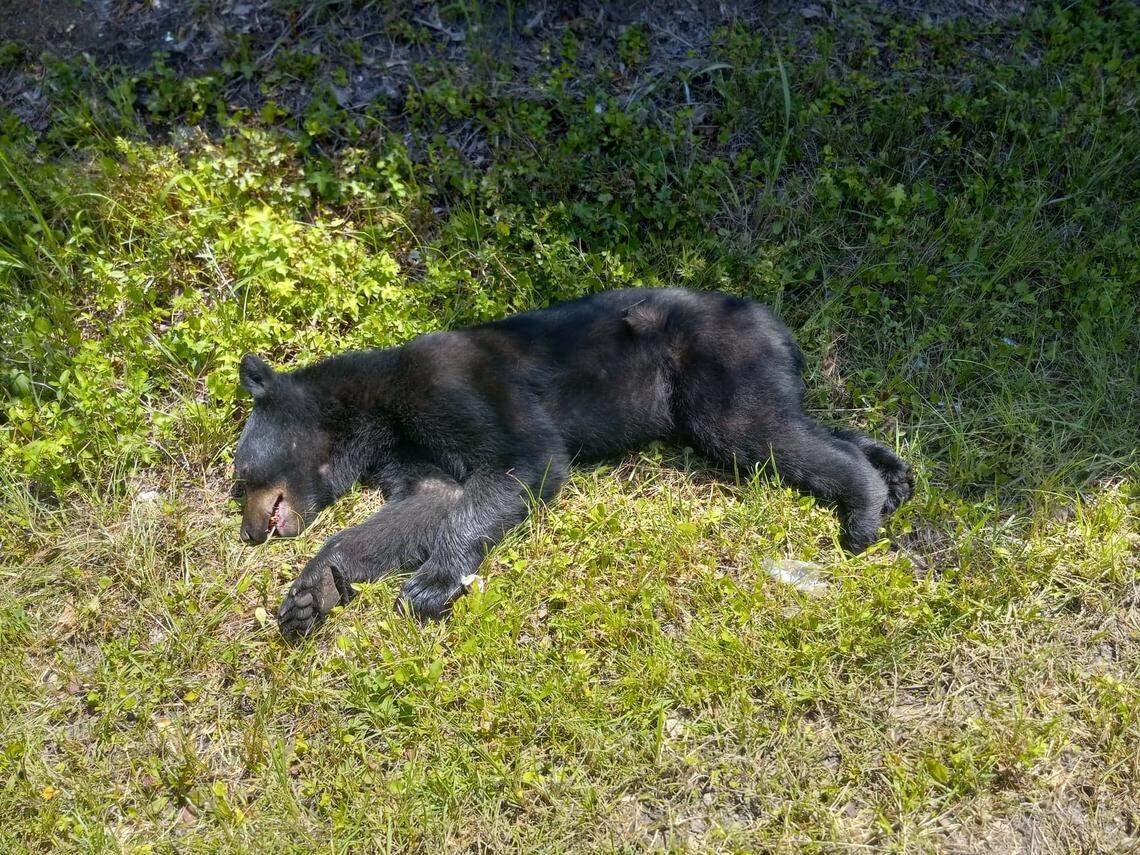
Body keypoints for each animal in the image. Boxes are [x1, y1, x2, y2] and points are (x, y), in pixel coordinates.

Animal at [231, 287, 913, 638]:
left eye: (239, 476)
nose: (250, 529)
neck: (374, 410)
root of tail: (774, 322)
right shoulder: (412, 449)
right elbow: (424, 503)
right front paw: (311, 592)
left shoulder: (454, 386)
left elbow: (524, 460)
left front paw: (431, 583)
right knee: (794, 424)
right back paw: (893, 474)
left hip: (717, 363)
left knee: (760, 432)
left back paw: (863, 509)